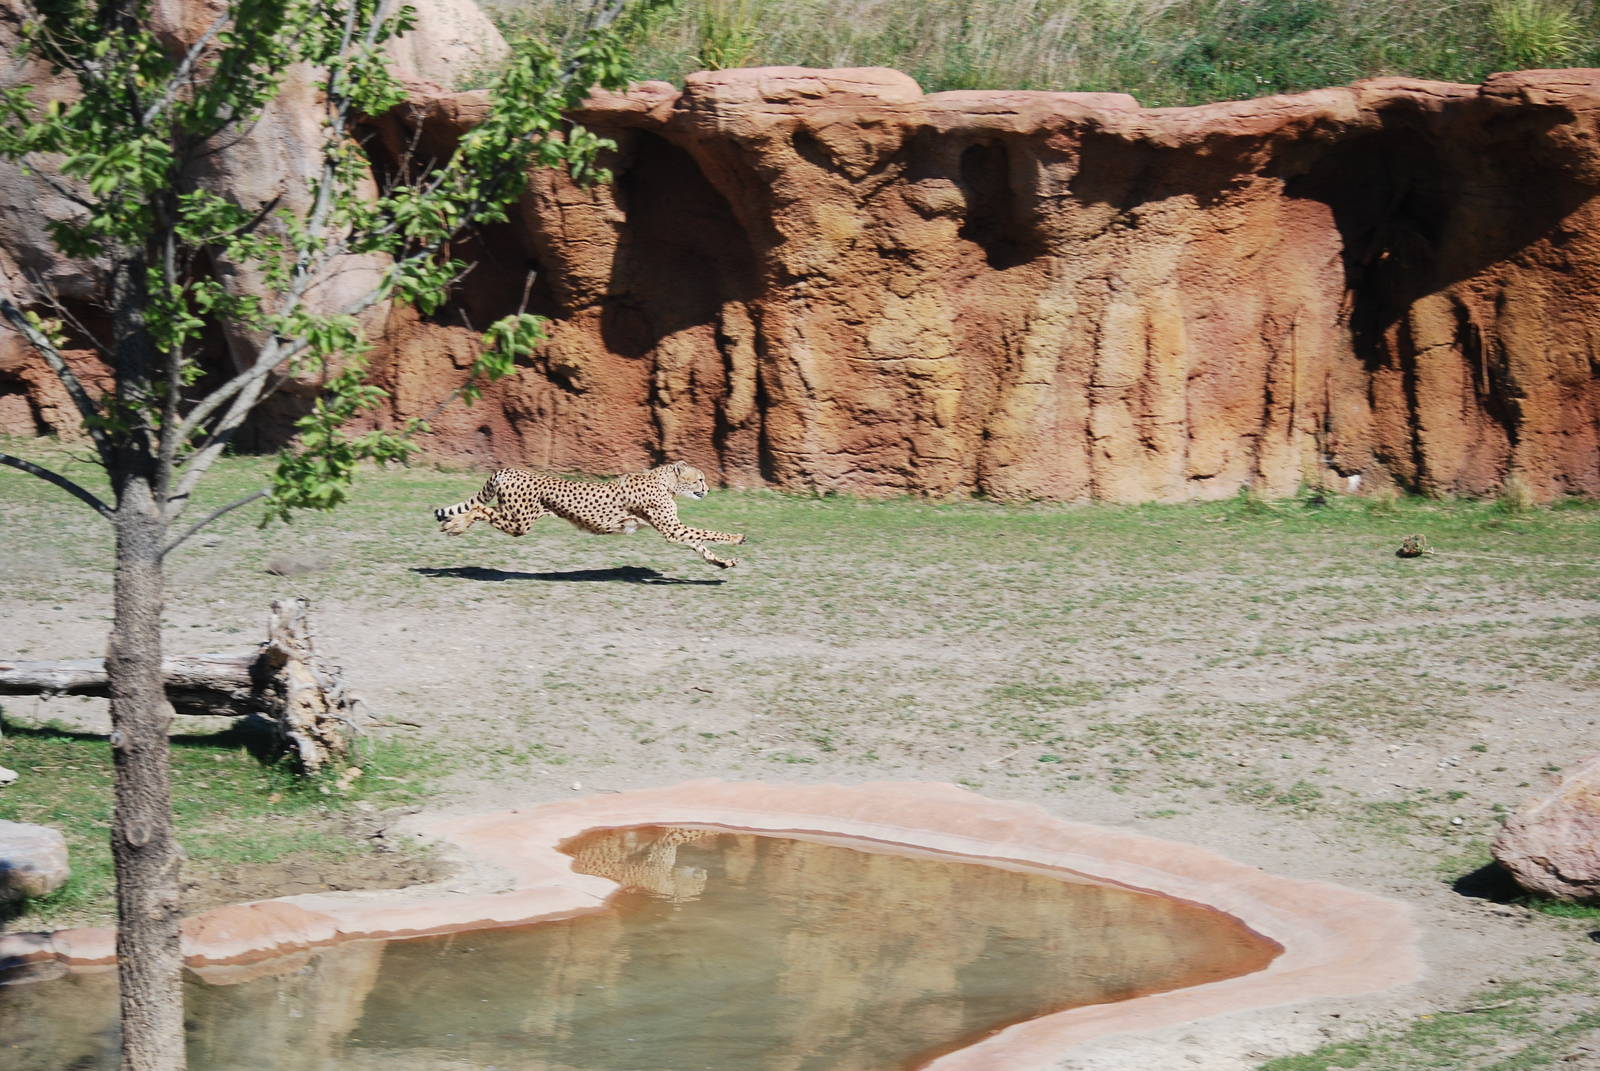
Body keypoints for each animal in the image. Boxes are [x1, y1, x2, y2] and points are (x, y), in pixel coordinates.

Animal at [431, 460, 746, 569]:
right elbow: (708, 534)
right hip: (519, 522)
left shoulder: (674, 530)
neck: (665, 481)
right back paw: (455, 526)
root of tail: (510, 469)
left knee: (479, 508)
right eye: (699, 479)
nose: (708, 489)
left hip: (512, 515)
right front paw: (737, 537)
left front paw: (722, 563)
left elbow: (701, 545)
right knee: (478, 509)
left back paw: (451, 523)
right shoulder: (672, 529)